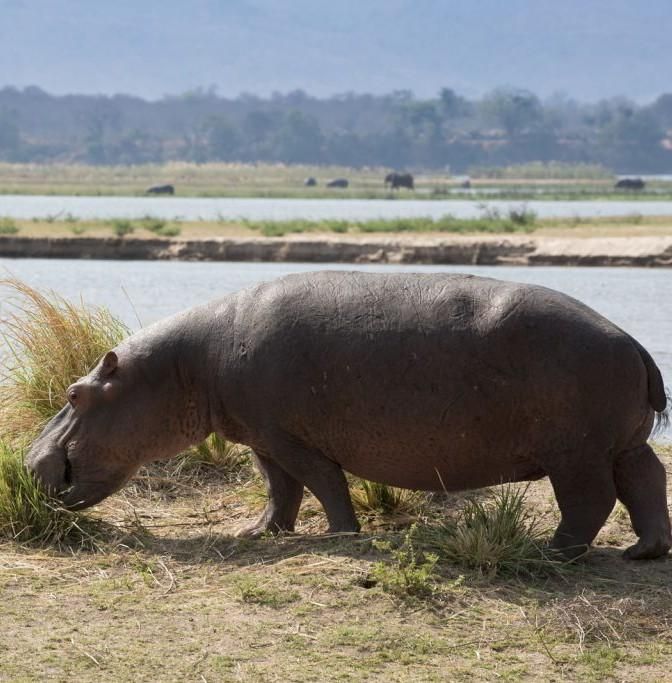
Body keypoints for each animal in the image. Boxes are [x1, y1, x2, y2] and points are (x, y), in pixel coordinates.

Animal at [26, 271, 671, 560]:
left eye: (75, 393)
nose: (29, 460)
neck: (186, 365)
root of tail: (635, 343)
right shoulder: (262, 436)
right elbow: (278, 488)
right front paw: (259, 534)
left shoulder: (290, 437)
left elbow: (322, 482)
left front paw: (340, 535)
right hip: (620, 443)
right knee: (647, 480)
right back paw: (644, 552)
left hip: (576, 453)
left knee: (591, 500)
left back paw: (553, 552)